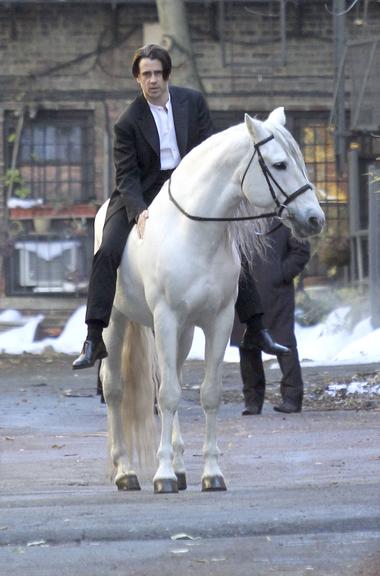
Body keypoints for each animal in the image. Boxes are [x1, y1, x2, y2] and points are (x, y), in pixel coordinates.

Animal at [96, 109, 326, 496]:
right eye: (279, 164)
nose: (315, 219)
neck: (194, 234)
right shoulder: (166, 319)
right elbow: (168, 396)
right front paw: (162, 477)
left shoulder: (216, 322)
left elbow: (208, 394)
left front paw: (211, 474)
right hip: (116, 323)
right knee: (114, 388)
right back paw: (125, 472)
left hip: (184, 333)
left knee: (169, 377)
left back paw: (177, 466)